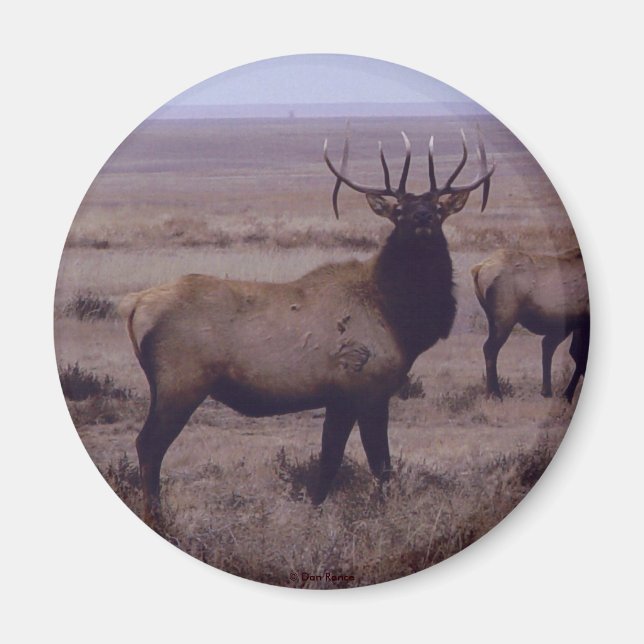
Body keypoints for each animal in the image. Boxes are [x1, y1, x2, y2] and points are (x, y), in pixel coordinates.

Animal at [118, 128, 495, 524]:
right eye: (399, 211)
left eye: (438, 209)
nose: (422, 217)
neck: (399, 318)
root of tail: (135, 306)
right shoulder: (364, 388)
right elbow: (369, 464)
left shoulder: (348, 397)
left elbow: (341, 462)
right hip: (181, 383)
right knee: (149, 445)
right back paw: (158, 515)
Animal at [471, 247, 589, 403]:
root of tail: (477, 269)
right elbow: (580, 355)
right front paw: (566, 395)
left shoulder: (579, 323)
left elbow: (576, 354)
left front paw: (565, 395)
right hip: (505, 318)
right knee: (490, 348)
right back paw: (495, 393)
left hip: (493, 319)